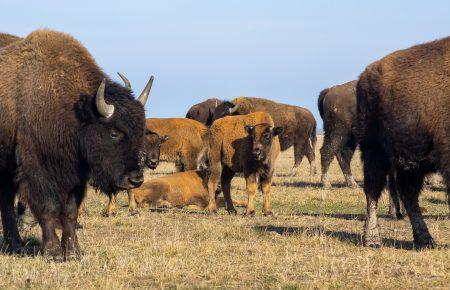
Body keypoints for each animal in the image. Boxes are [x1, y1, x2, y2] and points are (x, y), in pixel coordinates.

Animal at [0, 30, 153, 260]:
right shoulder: (38, 171)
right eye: (114, 133)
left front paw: (73, 253)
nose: (135, 179)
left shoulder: (77, 176)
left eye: (141, 131)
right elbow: (48, 208)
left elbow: (70, 212)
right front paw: (53, 253)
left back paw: (15, 245)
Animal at [356, 36, 448, 249]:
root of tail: (365, 74)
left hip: (412, 162)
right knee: (373, 191)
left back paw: (425, 239)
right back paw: (372, 239)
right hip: (374, 151)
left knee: (408, 193)